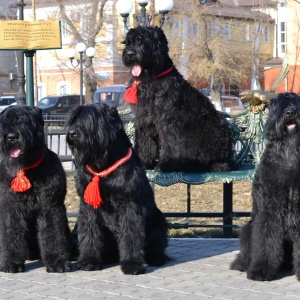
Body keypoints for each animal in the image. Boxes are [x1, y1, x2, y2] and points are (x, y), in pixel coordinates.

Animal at [0, 105, 72, 272]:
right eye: (4, 122)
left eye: (26, 121)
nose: (11, 136)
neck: (27, 168)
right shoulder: (10, 208)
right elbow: (11, 233)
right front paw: (11, 262)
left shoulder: (50, 206)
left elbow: (52, 233)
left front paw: (57, 261)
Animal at [120, 27, 231, 172]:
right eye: (128, 42)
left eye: (145, 42)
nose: (130, 53)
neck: (152, 78)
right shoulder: (143, 119)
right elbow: (146, 142)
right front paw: (145, 162)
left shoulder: (167, 121)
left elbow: (169, 143)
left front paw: (165, 164)